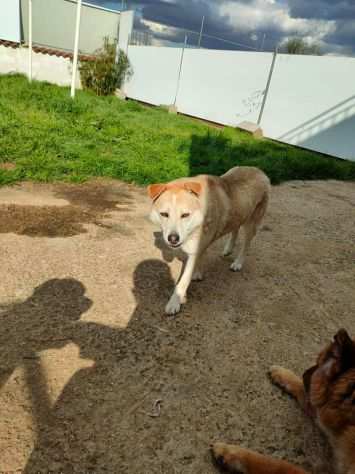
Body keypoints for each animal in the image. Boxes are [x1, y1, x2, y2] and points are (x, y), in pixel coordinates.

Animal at [147, 167, 270, 314]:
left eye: (185, 215)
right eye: (164, 214)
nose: (173, 239)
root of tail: (259, 170)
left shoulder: (196, 248)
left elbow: (183, 281)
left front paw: (175, 302)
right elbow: (200, 257)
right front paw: (197, 273)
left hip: (251, 223)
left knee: (246, 244)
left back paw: (238, 263)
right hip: (237, 214)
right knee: (235, 229)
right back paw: (228, 249)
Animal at [213, 330, 355, 474]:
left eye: (317, 363)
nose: (303, 373)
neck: (350, 398)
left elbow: (277, 465)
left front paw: (234, 454)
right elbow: (303, 391)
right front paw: (283, 374)